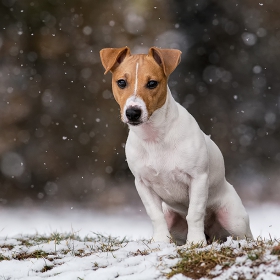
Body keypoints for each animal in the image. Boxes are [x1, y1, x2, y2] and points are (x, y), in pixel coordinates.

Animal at [99, 46, 253, 245]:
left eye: (152, 83)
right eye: (121, 82)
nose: (133, 112)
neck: (155, 137)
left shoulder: (198, 178)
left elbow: (194, 213)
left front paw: (196, 242)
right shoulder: (142, 183)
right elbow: (155, 215)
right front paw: (160, 242)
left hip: (234, 220)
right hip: (172, 217)